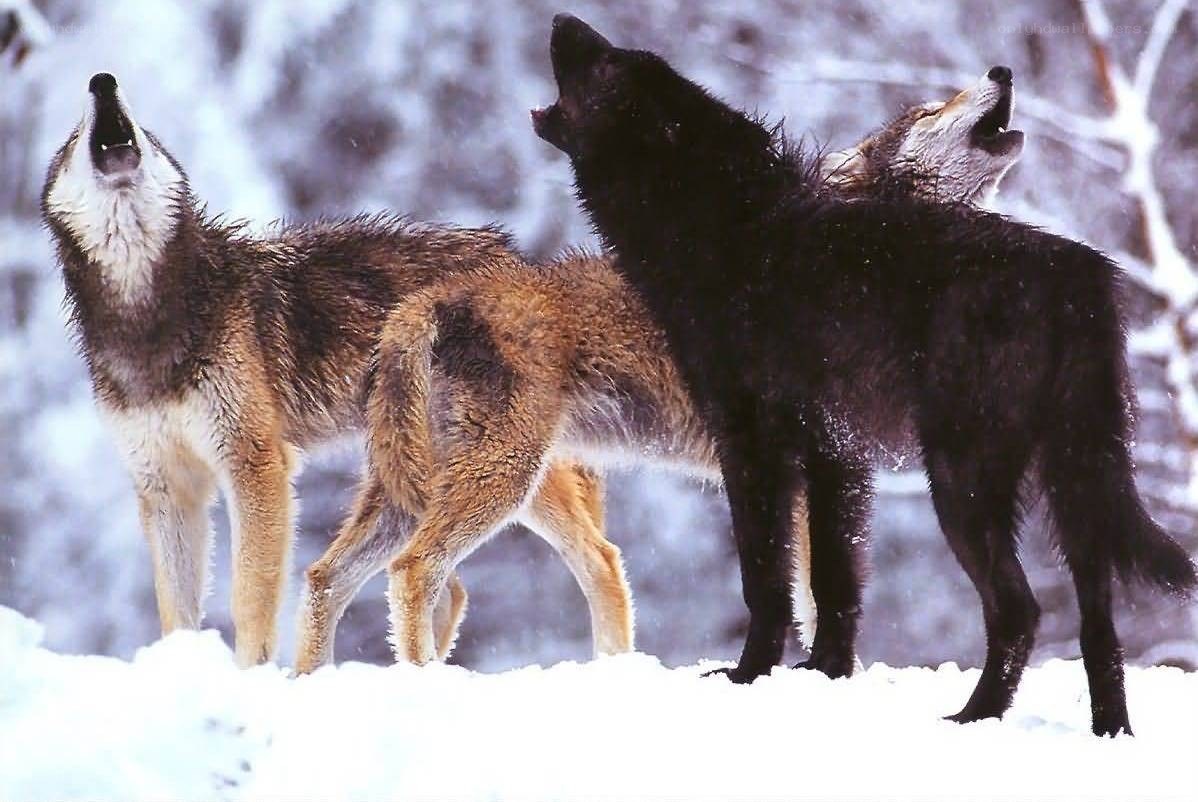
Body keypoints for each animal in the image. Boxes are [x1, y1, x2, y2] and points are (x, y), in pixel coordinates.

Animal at [40, 72, 632, 669]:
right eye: (72, 138)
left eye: (144, 129)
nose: (102, 81)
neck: (148, 316)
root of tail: (522, 262)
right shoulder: (165, 486)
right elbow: (175, 613)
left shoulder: (255, 465)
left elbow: (249, 598)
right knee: (436, 587)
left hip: (509, 470)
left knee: (600, 559)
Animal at [305, 69, 1031, 665]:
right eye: (931, 108)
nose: (1000, 70)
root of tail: (431, 298)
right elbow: (818, 599)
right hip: (503, 480)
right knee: (414, 571)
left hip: (426, 488)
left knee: (325, 578)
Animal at [531, 15, 1196, 736]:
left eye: (608, 65)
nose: (561, 19)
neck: (720, 229)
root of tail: (1077, 270)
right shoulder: (835, 457)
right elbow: (834, 581)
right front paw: (823, 673)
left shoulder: (754, 450)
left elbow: (765, 580)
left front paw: (747, 676)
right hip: (1075, 482)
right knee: (1100, 624)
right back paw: (1108, 735)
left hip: (962, 482)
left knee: (1019, 609)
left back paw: (973, 718)